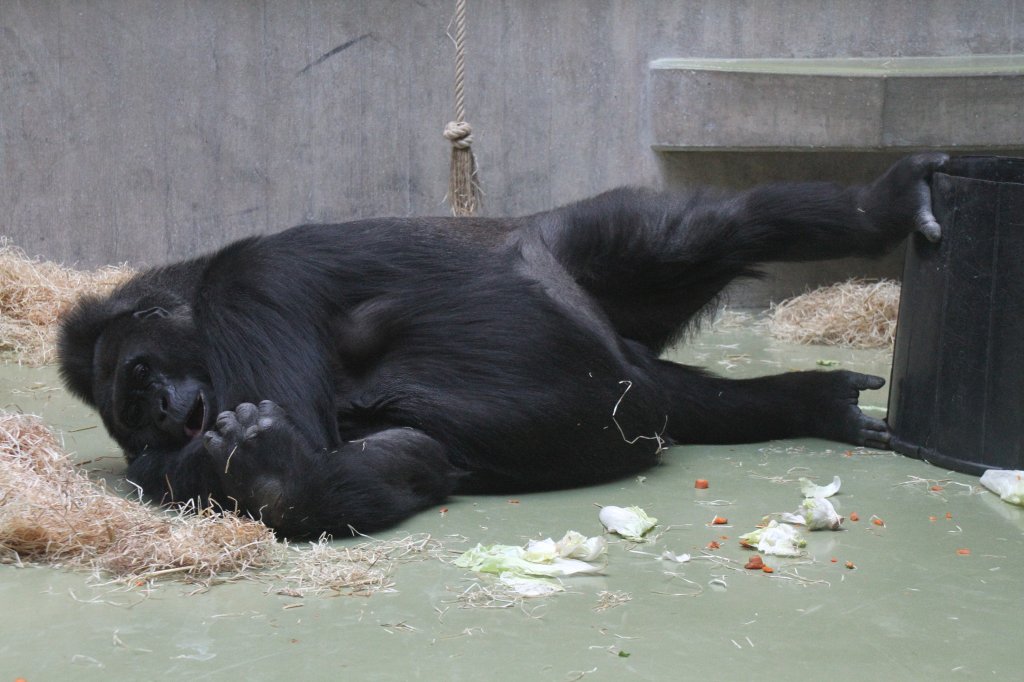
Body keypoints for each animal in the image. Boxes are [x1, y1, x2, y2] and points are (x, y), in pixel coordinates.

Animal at [59, 153, 946, 536]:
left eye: (139, 378)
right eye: (133, 411)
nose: (162, 412)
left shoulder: (252, 286)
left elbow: (306, 435)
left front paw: (274, 476)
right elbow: (399, 458)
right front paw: (271, 481)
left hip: (567, 247)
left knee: (701, 231)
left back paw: (881, 207)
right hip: (630, 361)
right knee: (684, 401)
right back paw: (812, 402)